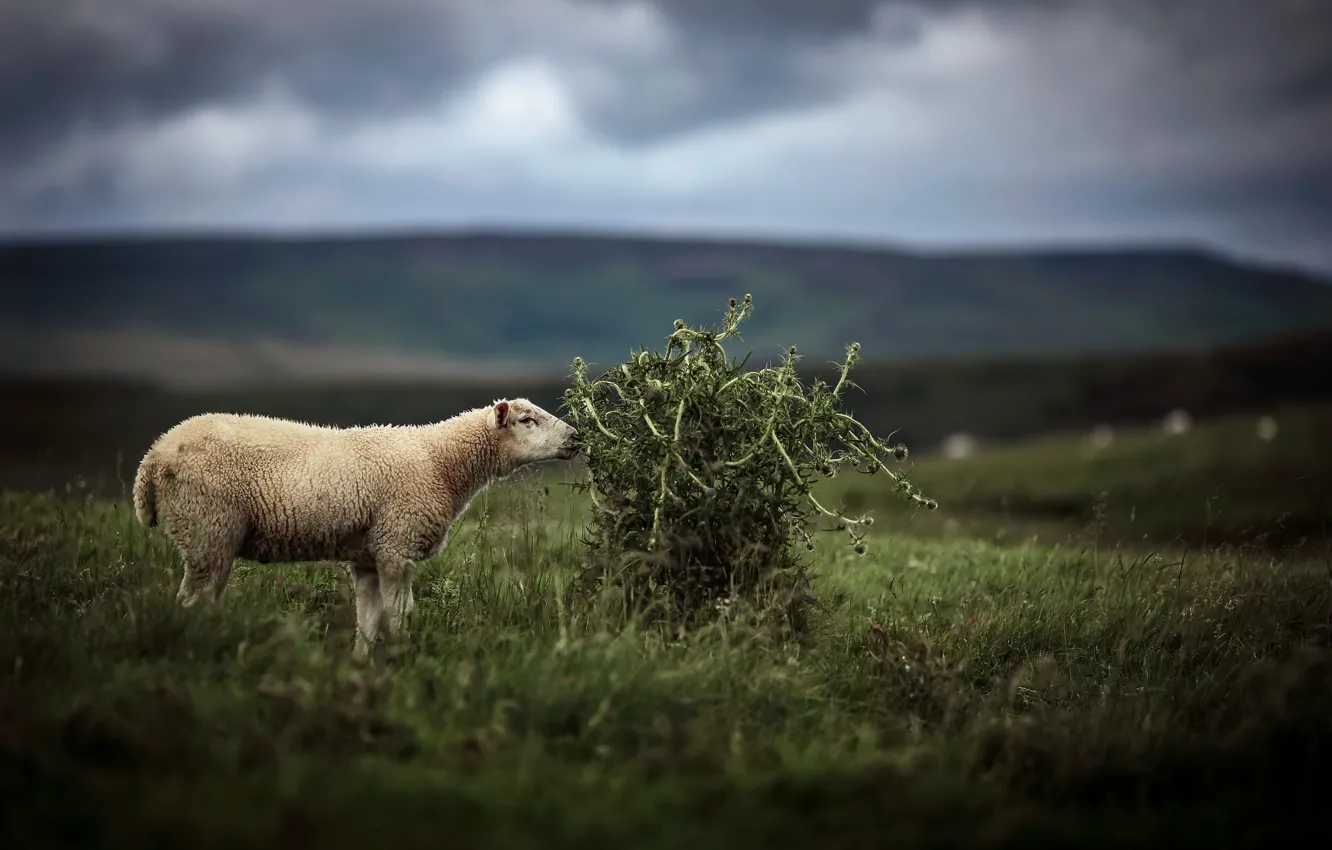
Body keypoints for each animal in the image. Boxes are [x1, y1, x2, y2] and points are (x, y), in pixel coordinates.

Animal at [132, 398, 580, 656]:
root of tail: (152, 459)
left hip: (210, 538)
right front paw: (402, 661)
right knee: (190, 602)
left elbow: (368, 621)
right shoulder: (398, 542)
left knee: (202, 600)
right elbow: (400, 614)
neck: (441, 462)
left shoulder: (368, 555)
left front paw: (362, 666)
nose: (577, 437)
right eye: (527, 419)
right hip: (208, 527)